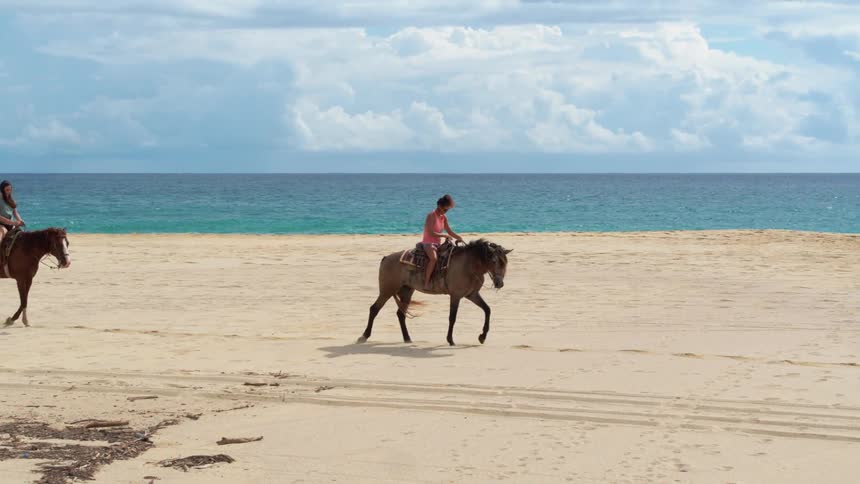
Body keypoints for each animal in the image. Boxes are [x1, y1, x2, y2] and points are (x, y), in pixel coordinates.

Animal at [358, 238, 511, 346]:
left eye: (505, 262)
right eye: (494, 261)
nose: (499, 283)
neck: (468, 265)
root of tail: (385, 258)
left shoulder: (471, 295)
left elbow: (487, 310)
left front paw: (482, 337)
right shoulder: (455, 296)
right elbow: (452, 317)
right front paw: (450, 340)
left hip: (407, 291)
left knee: (400, 314)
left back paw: (407, 339)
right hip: (387, 290)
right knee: (374, 309)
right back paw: (363, 336)